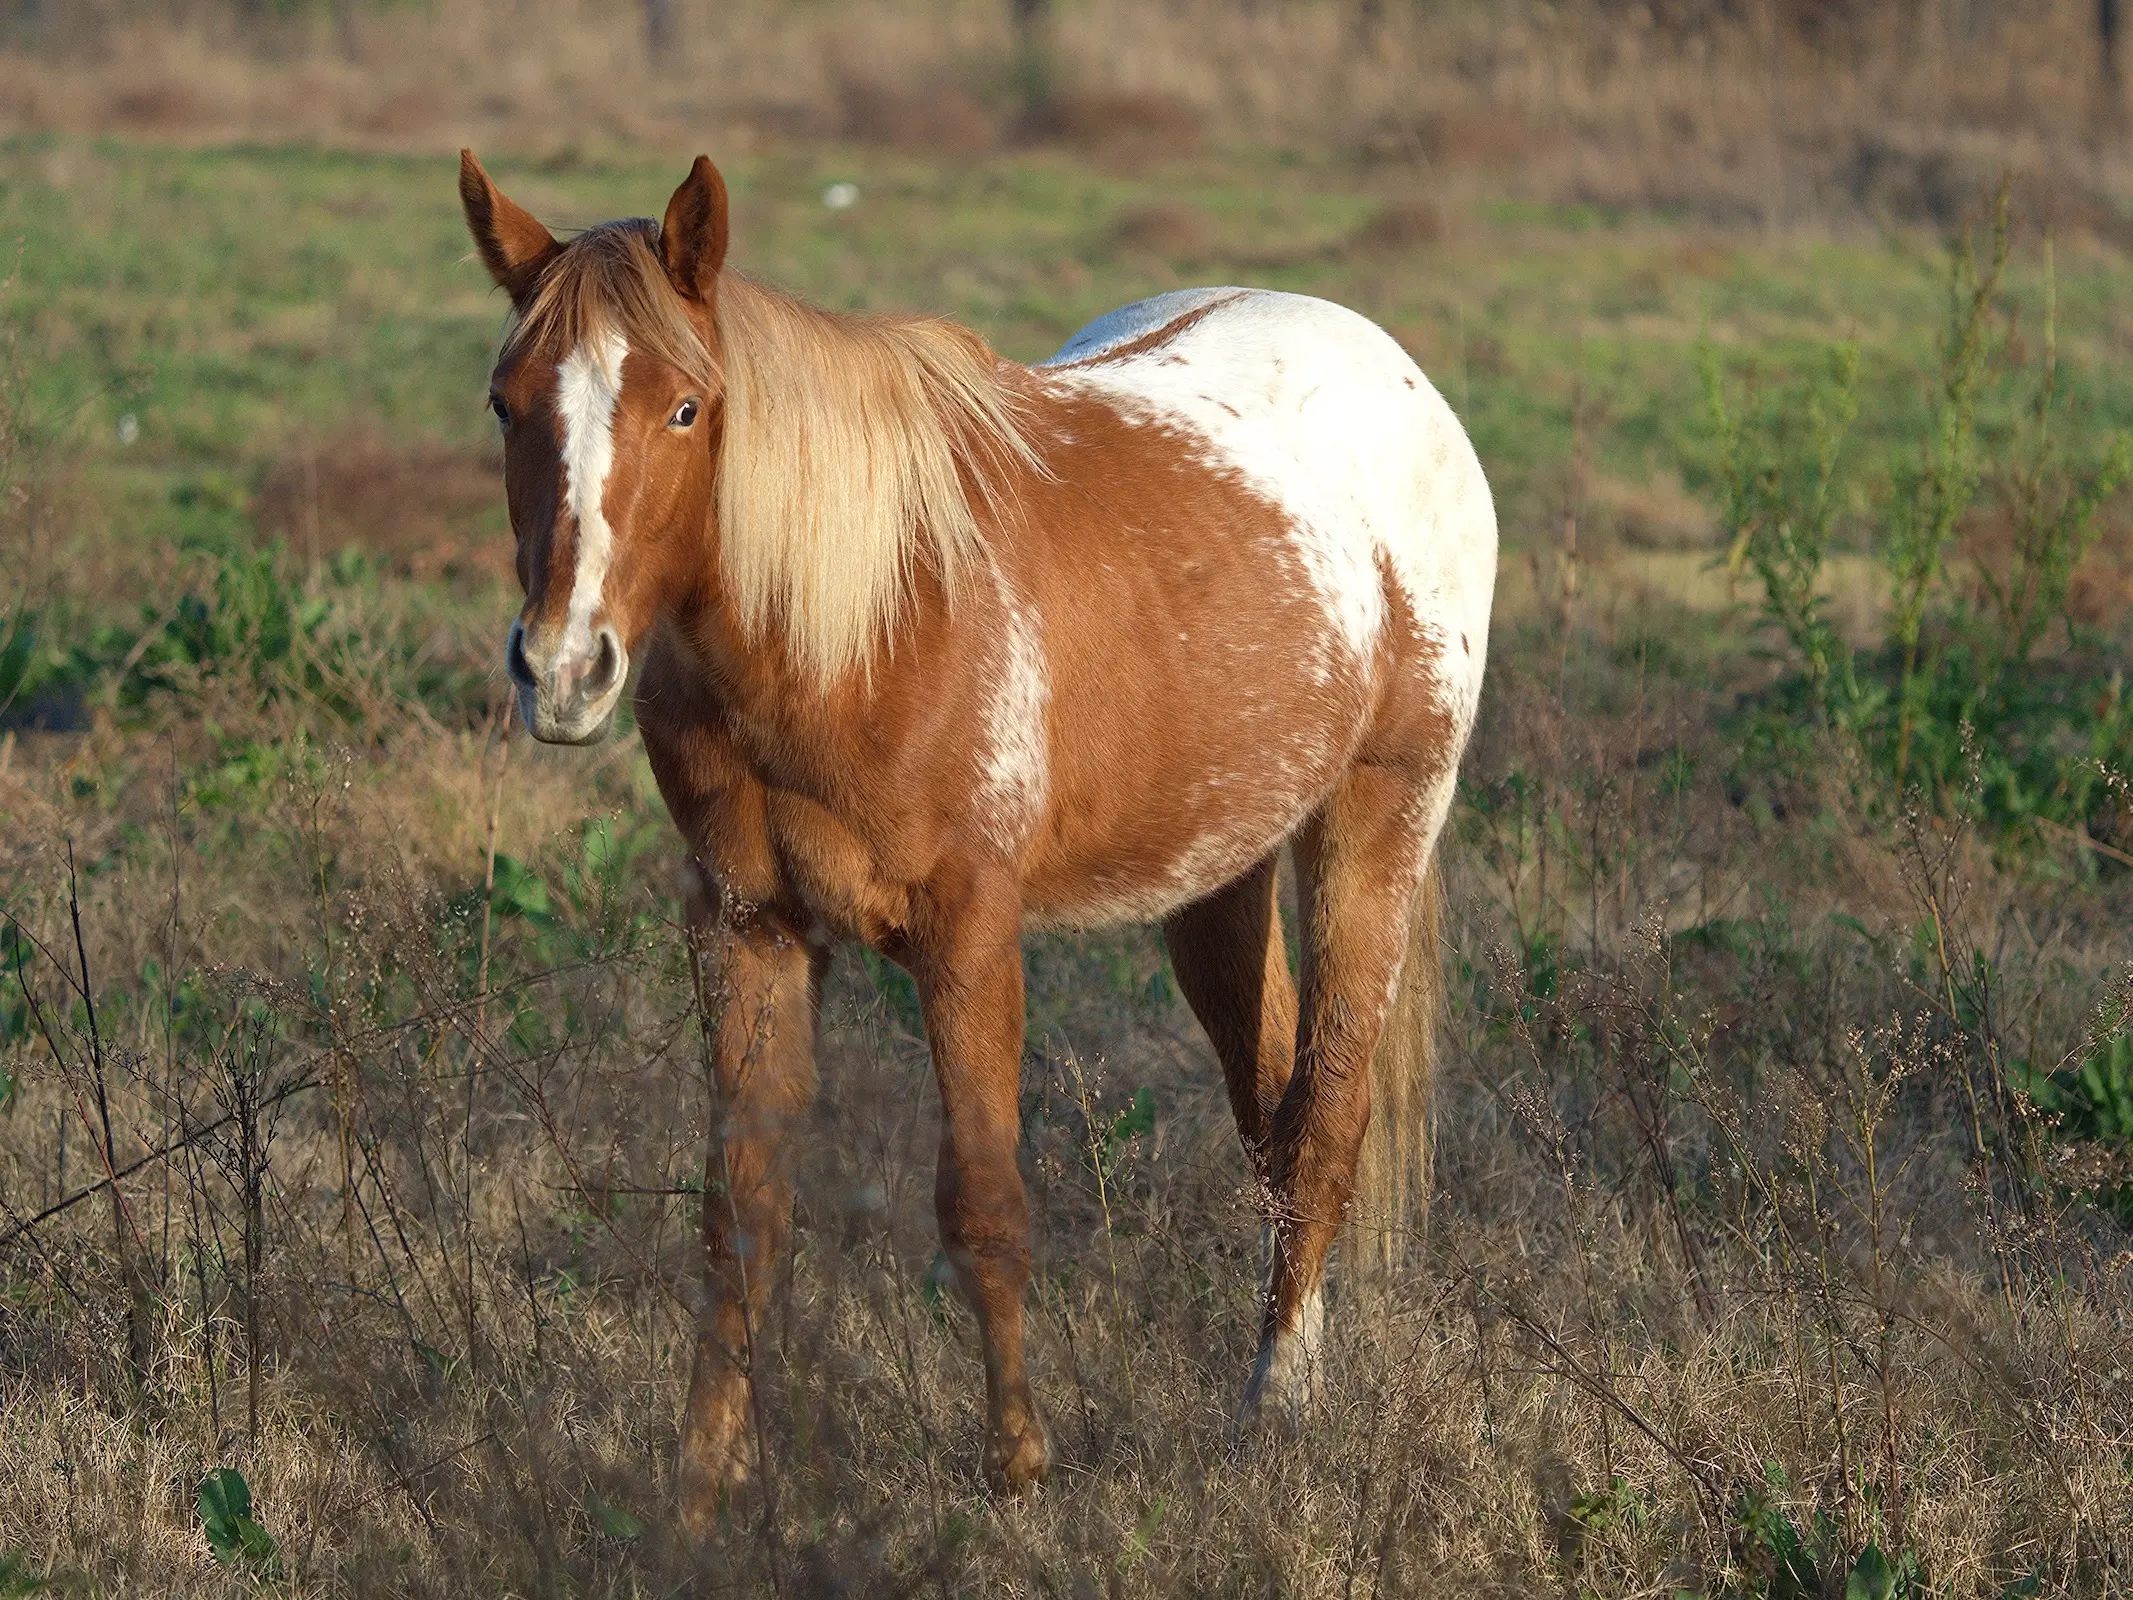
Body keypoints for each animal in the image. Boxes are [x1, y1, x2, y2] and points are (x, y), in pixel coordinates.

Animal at [462, 153, 1501, 1544]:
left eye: (684, 407)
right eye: (505, 401)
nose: (564, 668)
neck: (858, 618)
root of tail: (1400, 379)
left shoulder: (968, 935)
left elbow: (984, 1206)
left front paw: (1016, 1472)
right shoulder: (746, 928)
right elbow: (741, 1216)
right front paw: (700, 1496)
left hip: (1377, 820)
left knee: (1326, 1116)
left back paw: (1275, 1409)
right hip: (1217, 872)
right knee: (1274, 1117)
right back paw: (1294, 1378)